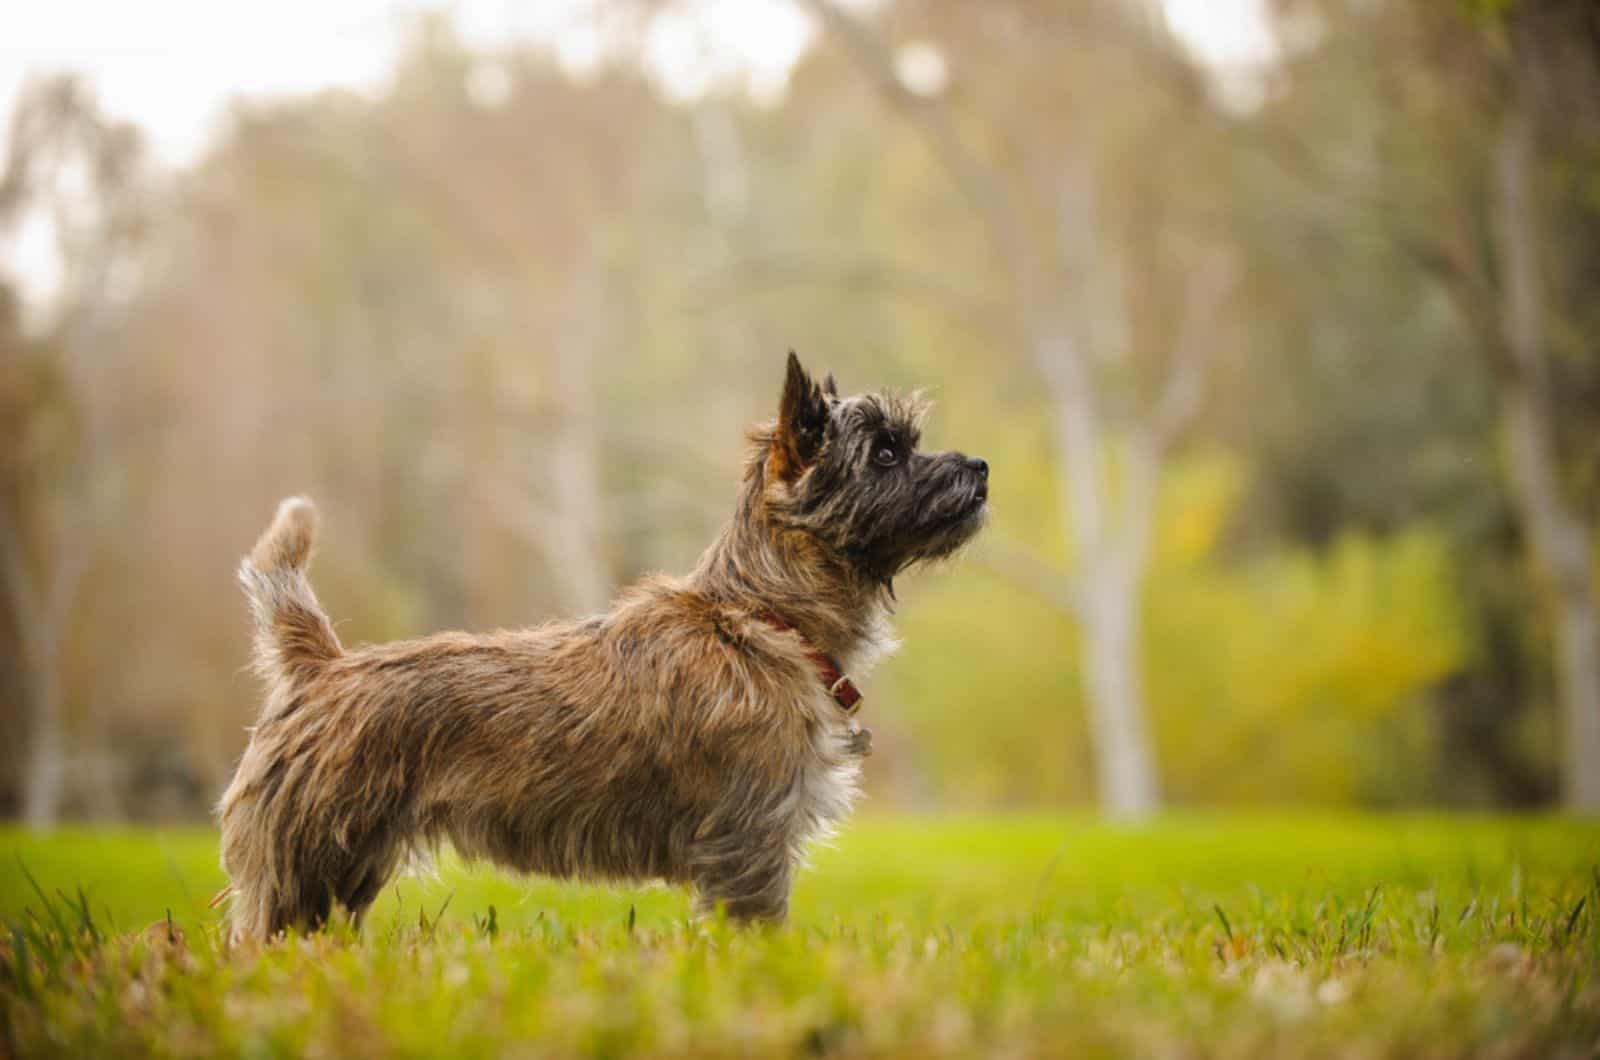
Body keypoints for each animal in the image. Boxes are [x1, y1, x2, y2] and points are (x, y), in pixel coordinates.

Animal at [216, 355, 985, 941]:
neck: (760, 617)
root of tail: (322, 667)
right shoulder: (753, 840)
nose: (978, 465)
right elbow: (756, 927)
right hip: (309, 868)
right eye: (886, 452)